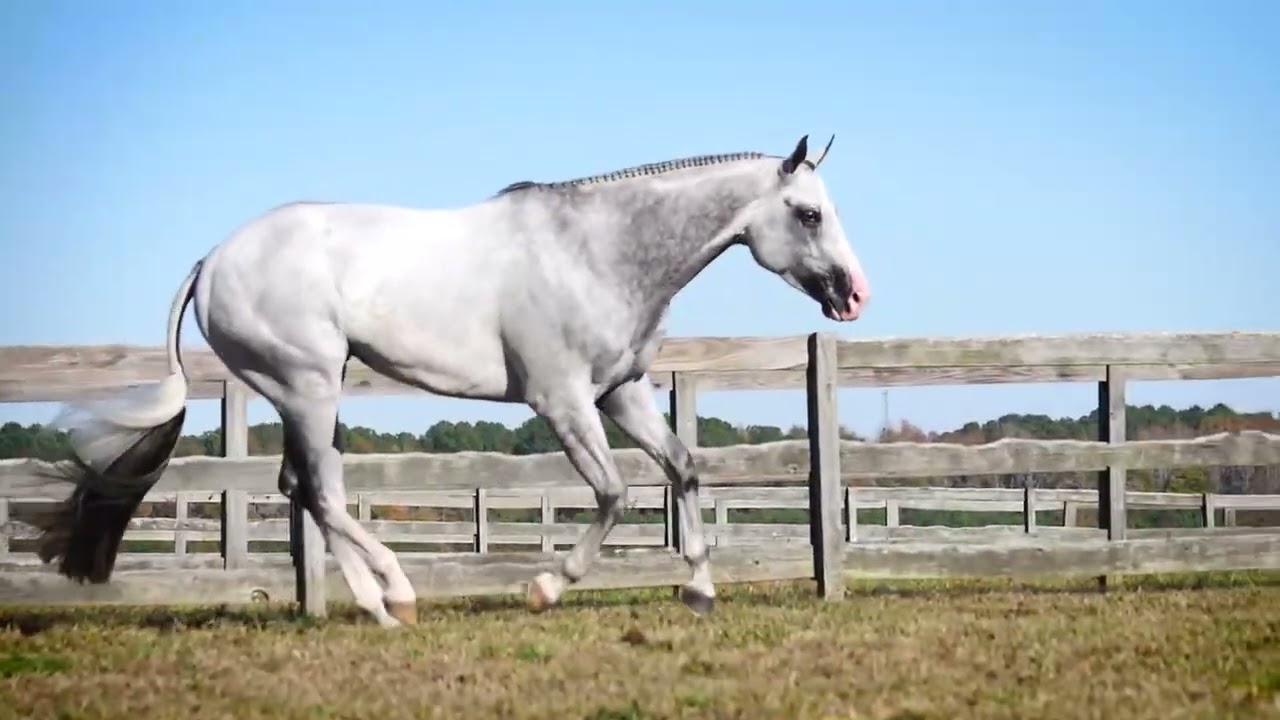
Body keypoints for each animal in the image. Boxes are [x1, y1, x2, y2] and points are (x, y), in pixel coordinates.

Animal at [34, 134, 871, 628]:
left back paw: (377, 604)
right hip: (308, 386)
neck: (596, 251)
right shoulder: (562, 400)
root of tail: (212, 259)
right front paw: (546, 587)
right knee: (323, 492)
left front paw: (699, 588)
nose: (854, 295)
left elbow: (683, 468)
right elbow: (612, 493)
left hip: (310, 390)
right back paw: (396, 596)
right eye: (806, 213)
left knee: (304, 490)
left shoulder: (621, 390)